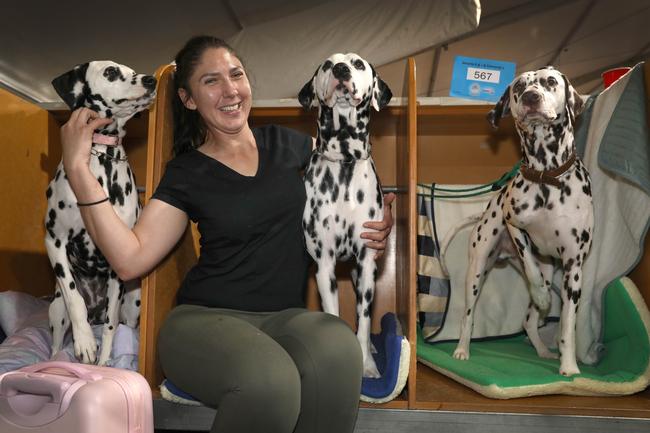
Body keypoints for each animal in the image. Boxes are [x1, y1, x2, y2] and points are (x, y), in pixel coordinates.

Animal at [46, 60, 156, 364]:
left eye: (132, 70)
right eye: (110, 72)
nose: (151, 80)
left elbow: (110, 326)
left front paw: (105, 362)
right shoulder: (54, 241)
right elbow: (75, 299)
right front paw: (84, 342)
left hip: (133, 302)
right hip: (56, 308)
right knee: (57, 341)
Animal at [298, 54, 390, 378]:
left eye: (358, 64)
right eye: (327, 65)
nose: (341, 69)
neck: (345, 164)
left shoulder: (366, 263)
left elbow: (363, 323)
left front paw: (368, 366)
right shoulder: (324, 267)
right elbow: (334, 316)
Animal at [450, 66, 592, 376]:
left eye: (551, 81)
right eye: (518, 87)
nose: (530, 97)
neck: (547, 178)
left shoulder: (573, 266)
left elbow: (568, 325)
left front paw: (569, 365)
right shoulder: (514, 225)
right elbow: (530, 266)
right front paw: (541, 296)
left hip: (552, 269)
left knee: (528, 321)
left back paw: (542, 350)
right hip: (477, 269)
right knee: (468, 315)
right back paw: (462, 349)